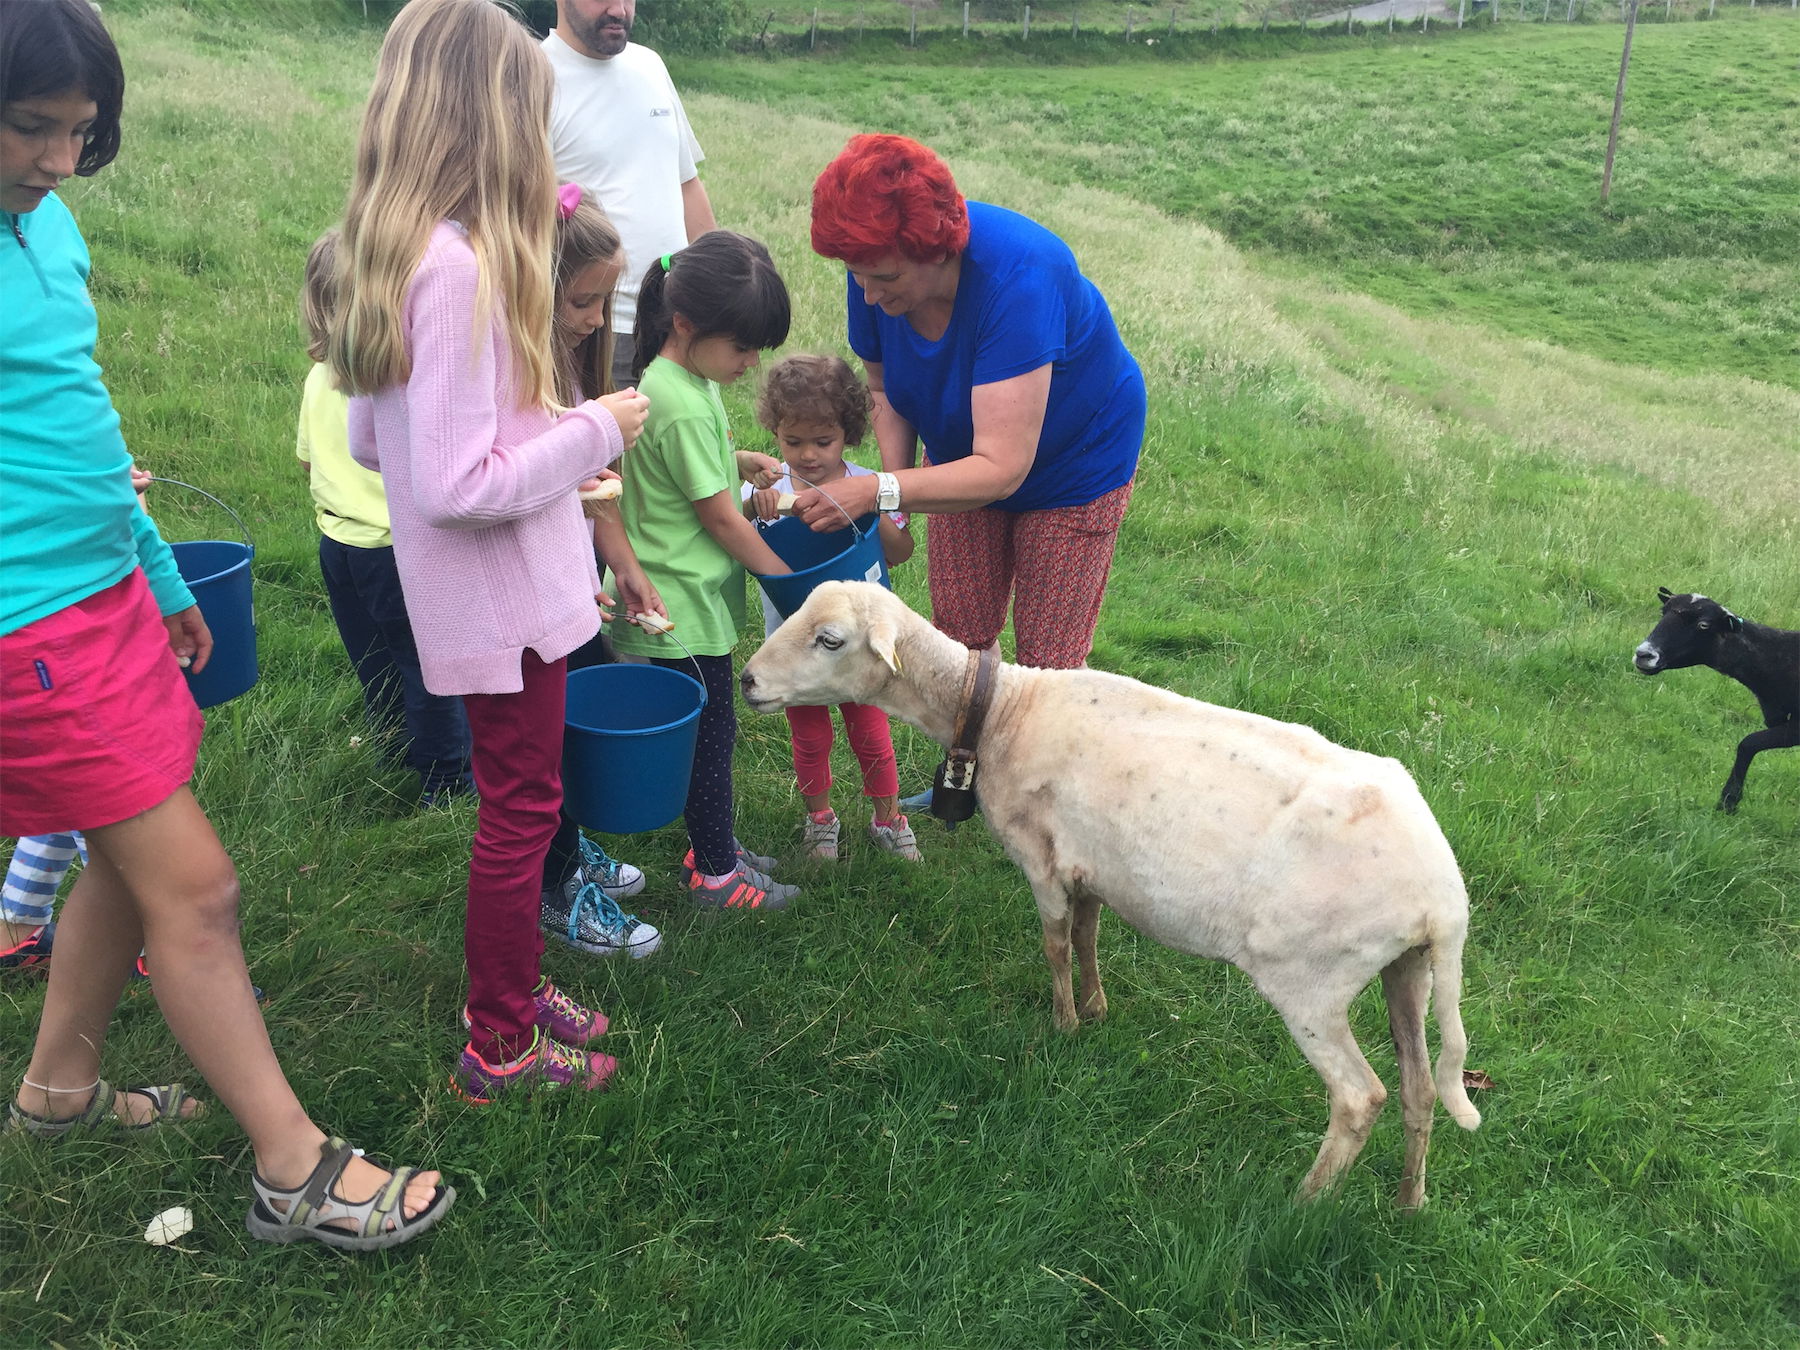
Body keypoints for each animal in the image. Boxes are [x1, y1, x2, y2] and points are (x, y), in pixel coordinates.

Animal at [738, 586, 1483, 1209]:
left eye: (829, 639)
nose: (747, 680)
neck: (1001, 710)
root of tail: (1443, 900)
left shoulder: (1041, 861)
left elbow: (1056, 946)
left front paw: (1064, 1025)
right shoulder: (1092, 866)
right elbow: (1090, 937)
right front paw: (1097, 1011)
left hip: (1311, 980)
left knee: (1361, 1097)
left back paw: (1302, 1203)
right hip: (1405, 968)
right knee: (1419, 1088)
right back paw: (1409, 1201)